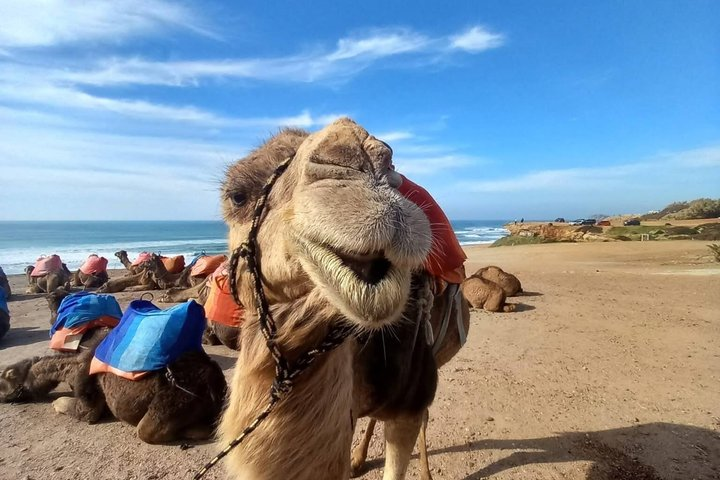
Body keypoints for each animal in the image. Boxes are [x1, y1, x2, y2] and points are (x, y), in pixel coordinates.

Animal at [0, 345, 227, 443]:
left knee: (147, 431)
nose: (3, 399)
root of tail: (213, 380)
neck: (70, 366)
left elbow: (84, 411)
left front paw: (55, 403)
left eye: (3, 377)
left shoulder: (84, 382)